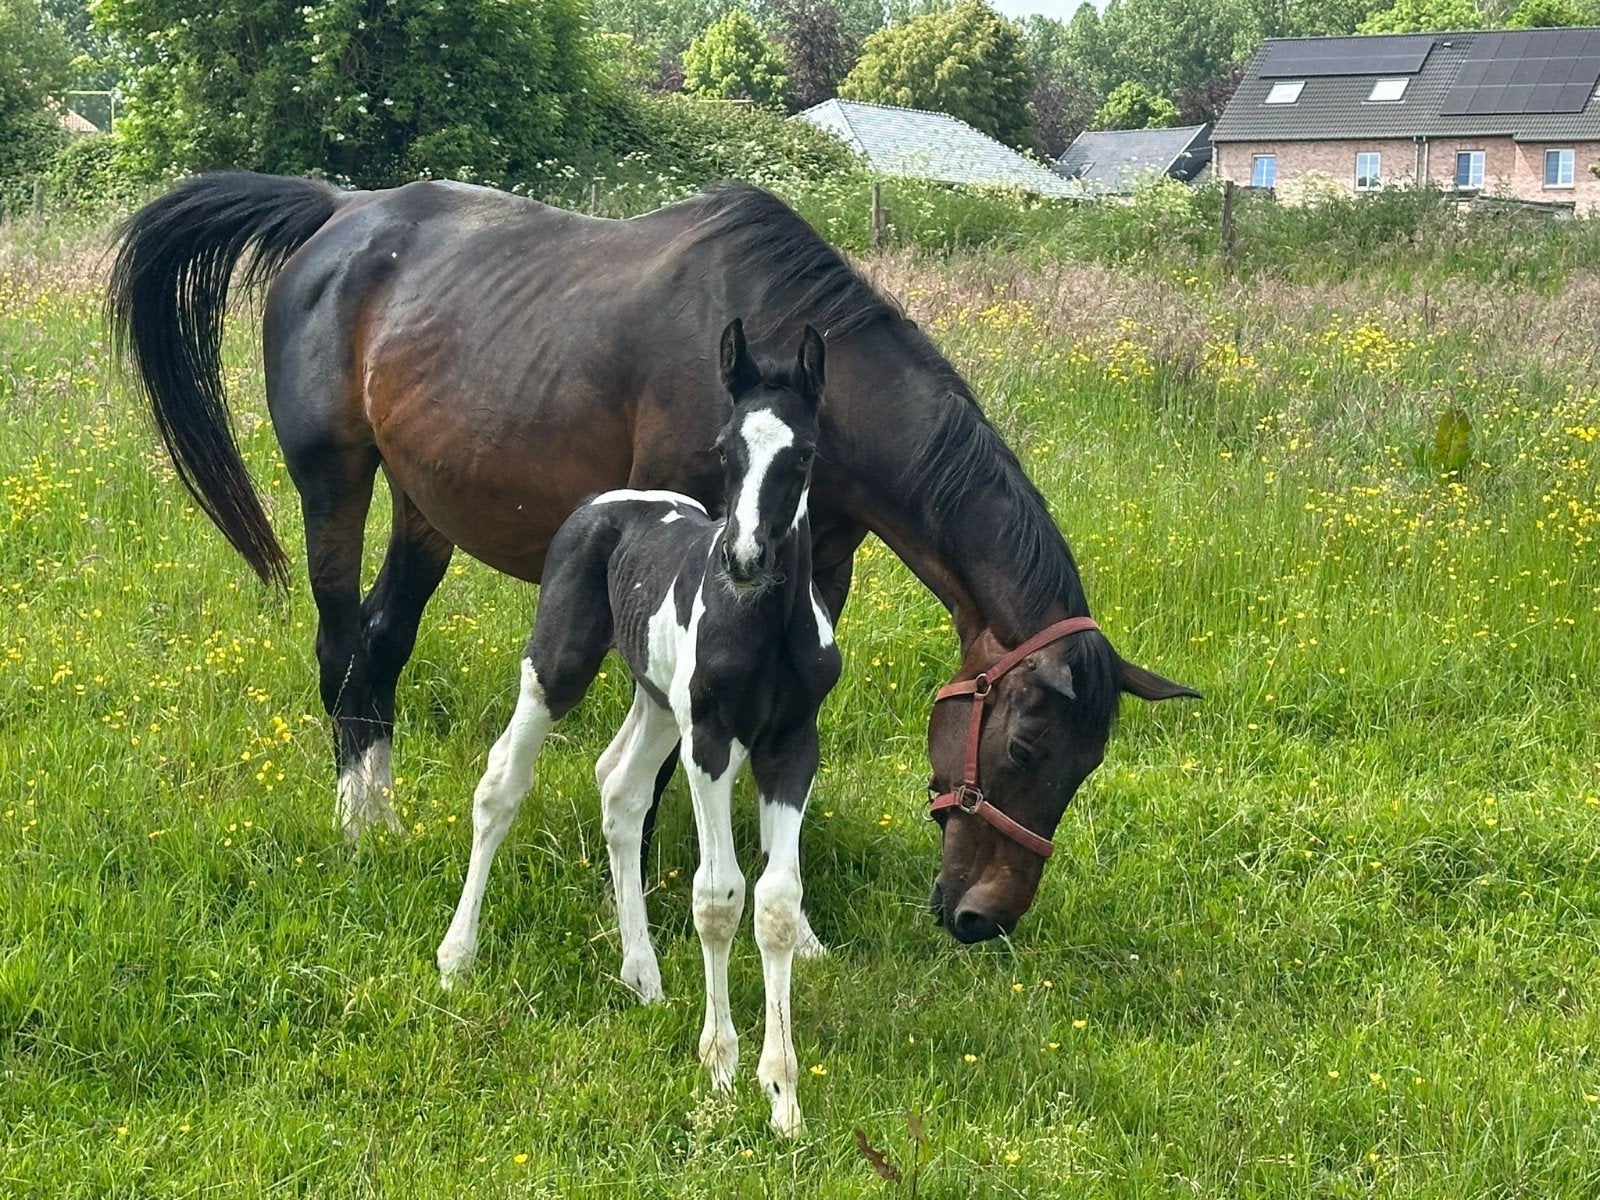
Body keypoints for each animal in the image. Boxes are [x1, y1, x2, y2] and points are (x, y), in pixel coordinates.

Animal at [109, 172, 1199, 945]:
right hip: (335, 479)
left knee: (380, 645)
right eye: (1024, 750)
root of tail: (338, 213)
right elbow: (671, 749)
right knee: (341, 648)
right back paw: (356, 826)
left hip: (426, 507)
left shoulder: (815, 585)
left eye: (1088, 766)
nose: (983, 918)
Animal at [437, 320, 838, 1136]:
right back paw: (457, 956)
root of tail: (606, 498)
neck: (765, 626)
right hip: (557, 667)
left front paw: (783, 1096)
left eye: (804, 454)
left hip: (658, 703)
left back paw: (642, 973)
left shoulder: (791, 746)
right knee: (501, 784)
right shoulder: (712, 739)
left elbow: (777, 903)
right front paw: (719, 1069)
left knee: (619, 790)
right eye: (725, 448)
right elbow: (719, 897)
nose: (744, 558)